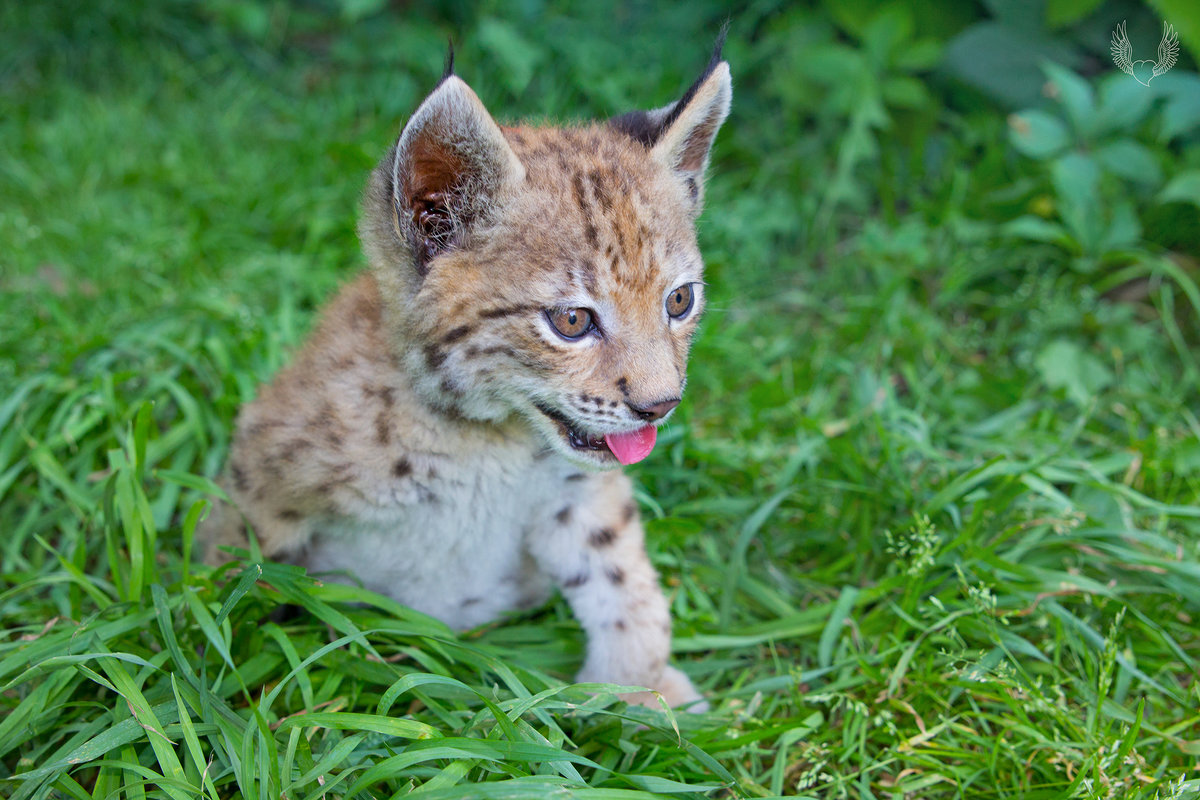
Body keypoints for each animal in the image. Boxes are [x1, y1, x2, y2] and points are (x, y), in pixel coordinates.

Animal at [204, 40, 729, 710]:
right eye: (572, 320)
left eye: (679, 302)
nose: (660, 406)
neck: (482, 440)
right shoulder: (261, 480)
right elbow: (221, 581)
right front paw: (216, 674)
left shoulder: (574, 491)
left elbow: (625, 582)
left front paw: (641, 690)